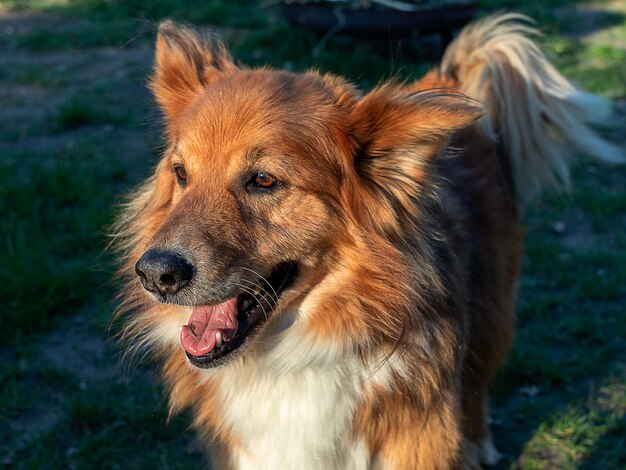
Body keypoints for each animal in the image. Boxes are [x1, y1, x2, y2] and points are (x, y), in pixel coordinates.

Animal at [114, 14, 620, 470]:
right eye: (181, 173)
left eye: (263, 180)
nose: (155, 273)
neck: (291, 355)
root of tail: (447, 79)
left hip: (494, 304)